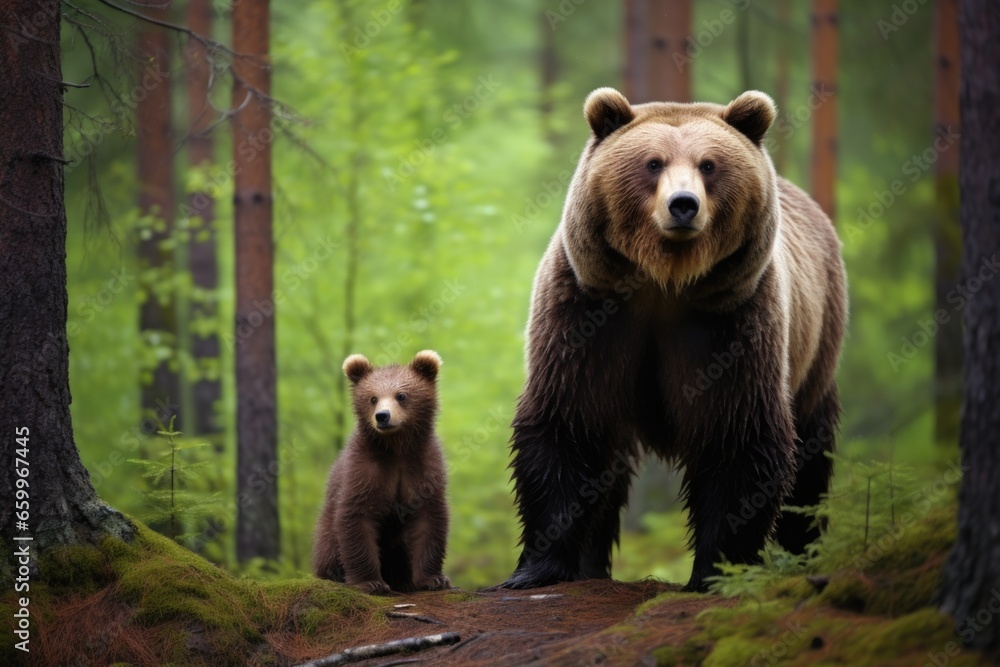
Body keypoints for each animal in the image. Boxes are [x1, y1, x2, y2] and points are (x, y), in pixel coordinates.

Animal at [312, 350, 451, 594]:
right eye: (372, 398)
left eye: (401, 395)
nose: (382, 416)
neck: (396, 449)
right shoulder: (364, 472)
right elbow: (356, 518)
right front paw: (371, 582)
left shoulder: (423, 468)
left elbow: (429, 519)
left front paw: (433, 578)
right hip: (326, 533)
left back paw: (403, 580)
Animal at [501, 88, 847, 592]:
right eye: (653, 163)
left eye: (709, 164)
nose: (683, 204)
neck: (663, 282)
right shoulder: (589, 312)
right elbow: (568, 422)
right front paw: (536, 569)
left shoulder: (730, 321)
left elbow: (737, 435)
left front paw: (715, 571)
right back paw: (591, 565)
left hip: (816, 344)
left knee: (811, 453)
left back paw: (803, 550)